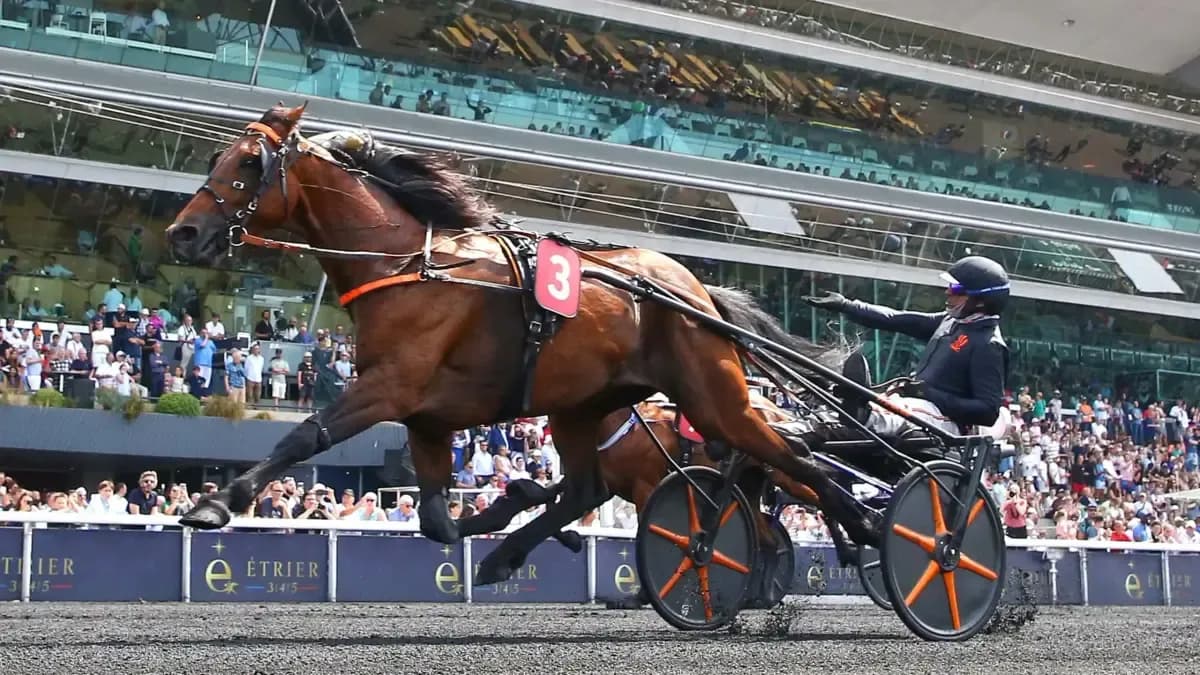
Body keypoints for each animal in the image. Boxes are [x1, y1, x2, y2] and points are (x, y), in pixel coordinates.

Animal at [165, 103, 880, 586]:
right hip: (582, 405)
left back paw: (870, 530)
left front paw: (214, 503)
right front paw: (503, 512)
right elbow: (436, 517)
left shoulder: (390, 386)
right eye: (215, 159)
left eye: (249, 163)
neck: (410, 265)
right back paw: (510, 551)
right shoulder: (427, 414)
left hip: (712, 399)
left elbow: (305, 435)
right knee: (588, 488)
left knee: (799, 463)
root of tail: (695, 291)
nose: (182, 234)